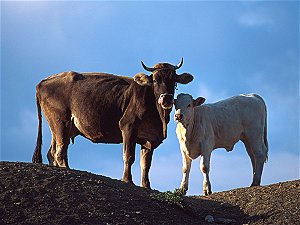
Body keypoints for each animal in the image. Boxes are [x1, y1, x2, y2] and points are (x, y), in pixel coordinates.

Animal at [32, 58, 192, 188]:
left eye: (174, 80)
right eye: (155, 80)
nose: (166, 99)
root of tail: (42, 82)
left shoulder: (149, 138)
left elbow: (146, 164)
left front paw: (146, 186)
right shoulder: (128, 126)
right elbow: (129, 156)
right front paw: (127, 180)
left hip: (58, 127)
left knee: (52, 152)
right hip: (61, 122)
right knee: (60, 151)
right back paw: (67, 168)